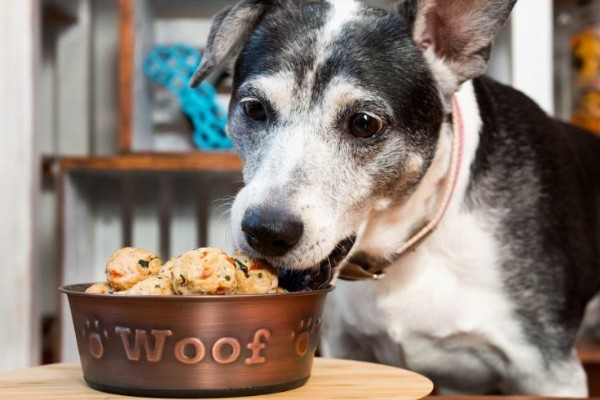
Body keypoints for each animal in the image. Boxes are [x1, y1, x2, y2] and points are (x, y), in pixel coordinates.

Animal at [191, 0, 600, 394]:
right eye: (254, 108)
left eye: (364, 123)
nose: (265, 231)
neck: (406, 242)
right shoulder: (347, 346)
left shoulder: (549, 373)